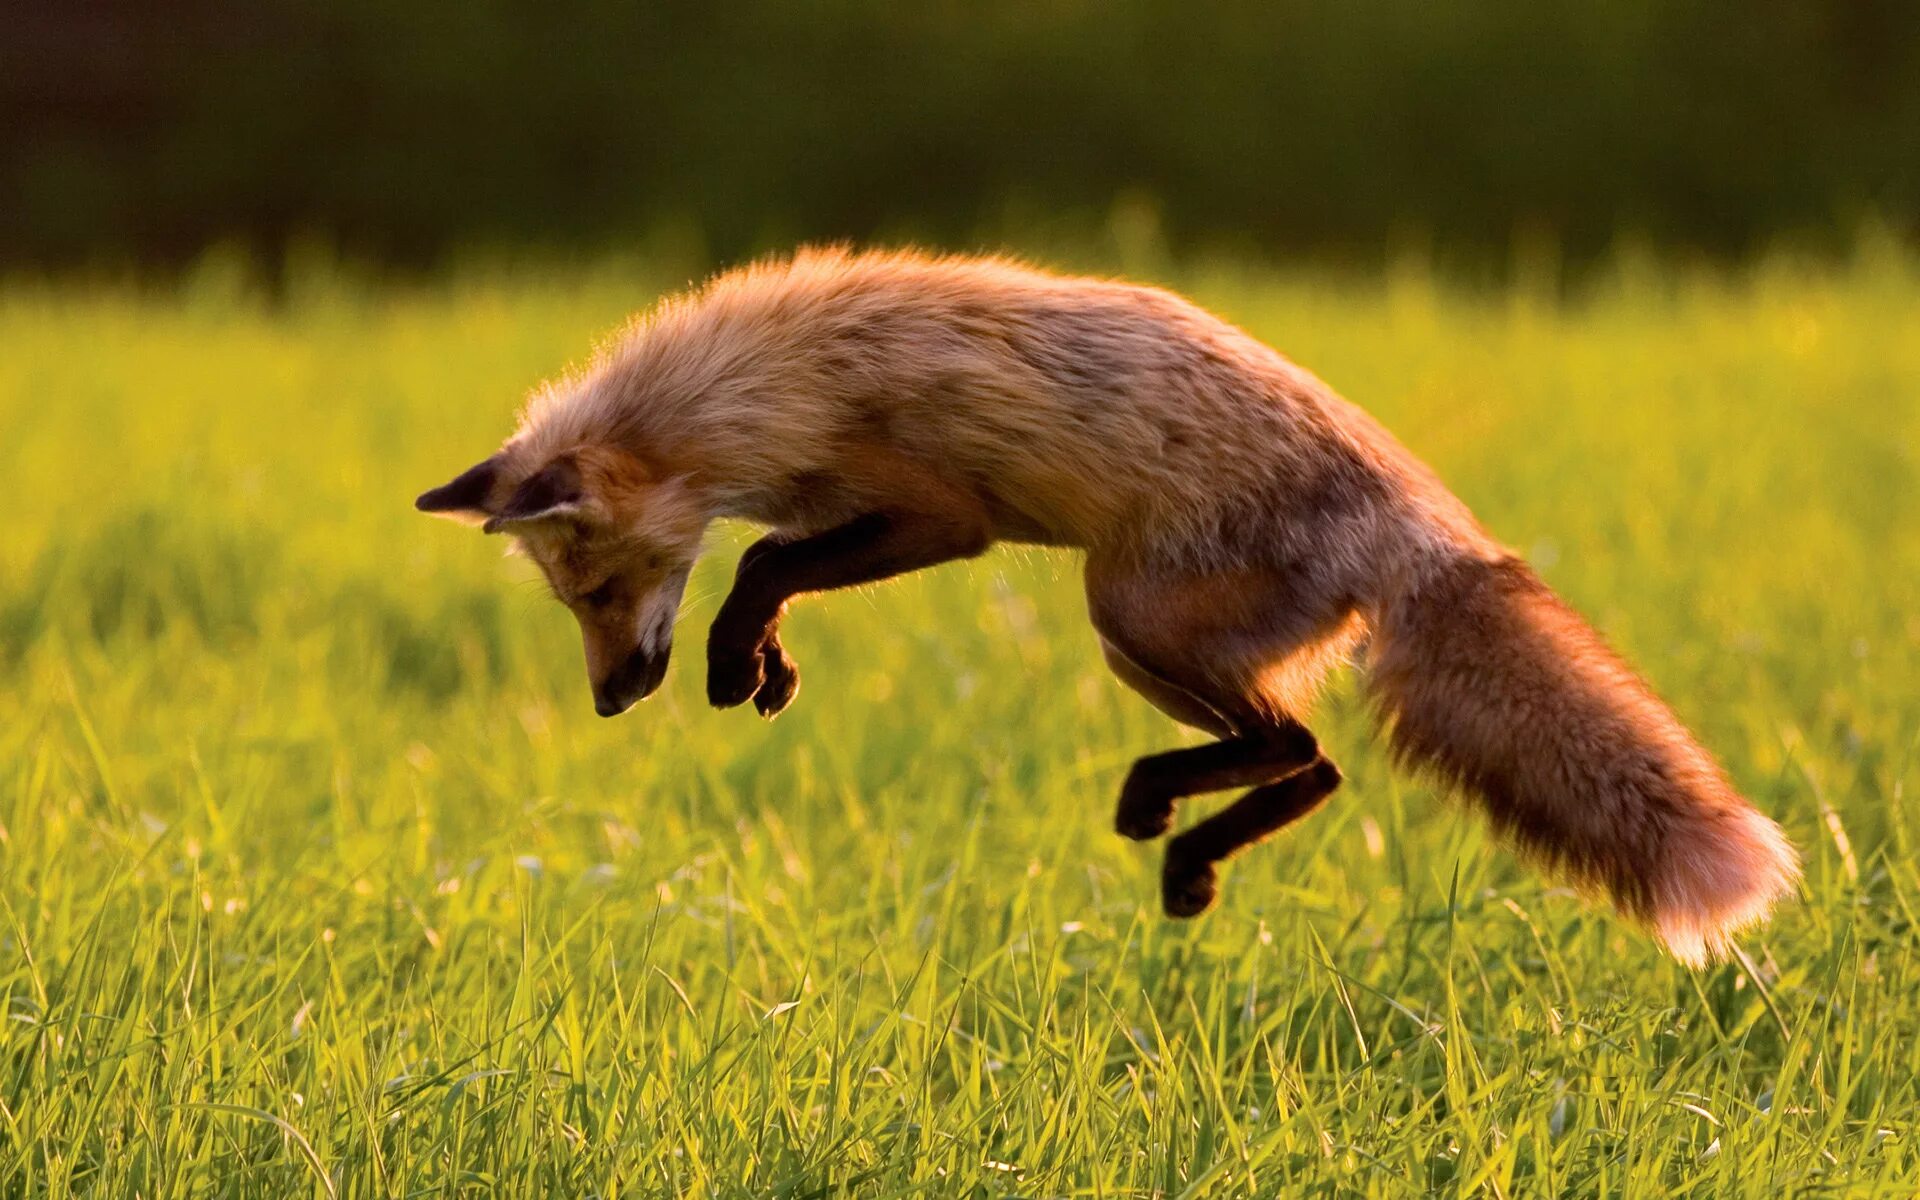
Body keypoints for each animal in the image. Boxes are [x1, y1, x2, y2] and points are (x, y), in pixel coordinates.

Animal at [420, 245, 1797, 963]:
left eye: (601, 590)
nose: (613, 701)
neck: (766, 388)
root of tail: (1427, 523)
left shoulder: (939, 514)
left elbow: (760, 563)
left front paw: (736, 657)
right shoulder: (861, 514)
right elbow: (768, 567)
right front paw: (764, 668)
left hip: (1124, 610)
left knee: (1301, 750)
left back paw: (1171, 829)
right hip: (1143, 640)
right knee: (1313, 762)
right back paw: (1183, 849)